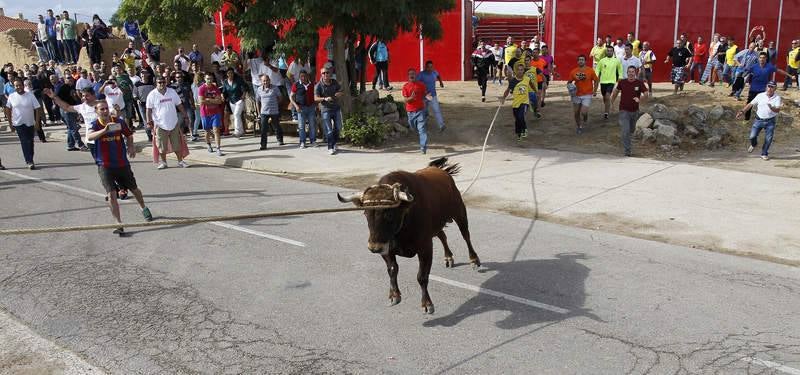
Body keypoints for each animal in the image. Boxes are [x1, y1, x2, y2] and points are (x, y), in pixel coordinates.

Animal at [334, 157, 478, 316]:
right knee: (442, 236)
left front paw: (427, 304)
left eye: (389, 214)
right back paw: (448, 257)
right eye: (366, 212)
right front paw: (394, 295)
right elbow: (392, 269)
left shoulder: (425, 248)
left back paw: (474, 260)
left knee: (466, 236)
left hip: (460, 213)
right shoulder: (387, 248)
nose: (374, 247)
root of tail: (441, 171)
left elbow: (422, 277)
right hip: (436, 225)